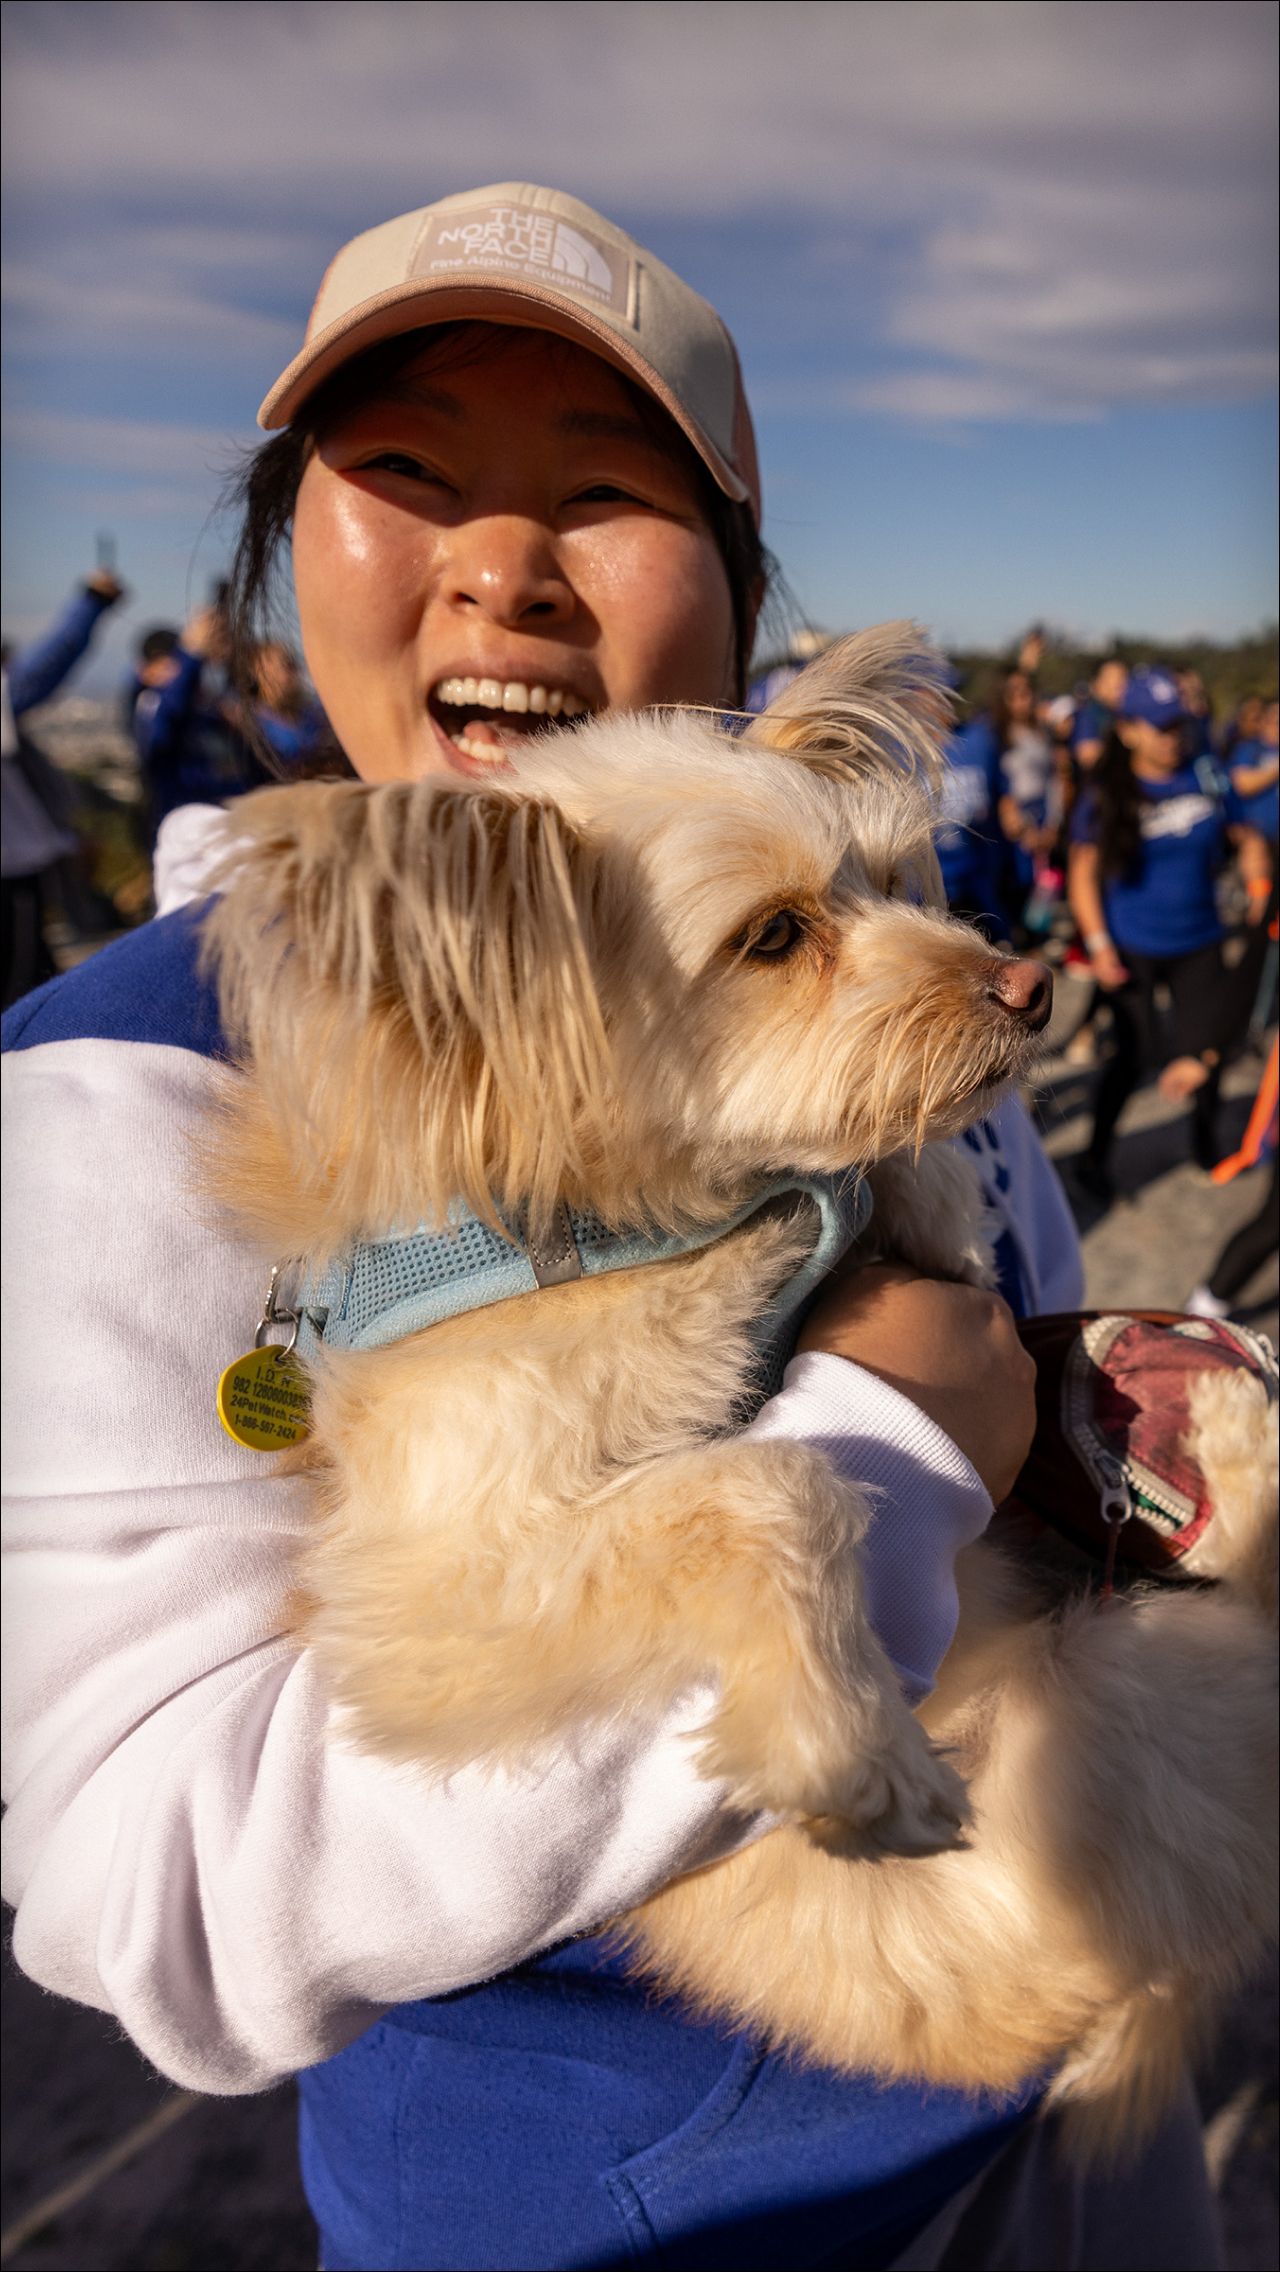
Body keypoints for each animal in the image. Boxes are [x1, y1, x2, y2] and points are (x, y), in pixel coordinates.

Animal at [205, 631, 1273, 2153]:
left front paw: (933, 1205)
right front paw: (849, 1746)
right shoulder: (432, 1604)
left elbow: (881, 1180)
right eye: (772, 938)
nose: (1030, 986)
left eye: (887, 881)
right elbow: (773, 1477)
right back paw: (1232, 1436)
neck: (661, 1231)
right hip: (1140, 1703)